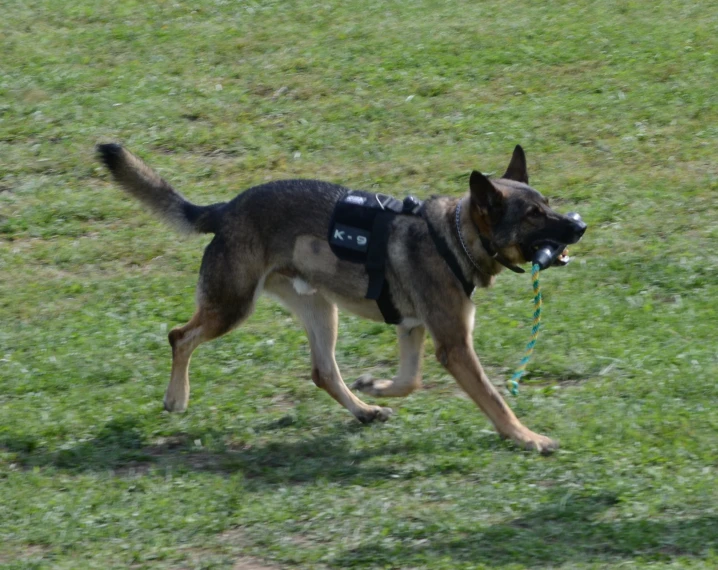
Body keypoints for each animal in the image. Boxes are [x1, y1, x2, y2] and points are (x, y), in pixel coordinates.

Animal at [98, 145, 588, 452]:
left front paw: (377, 386)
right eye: (534, 214)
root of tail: (226, 209)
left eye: (547, 202)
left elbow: (410, 380)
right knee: (179, 336)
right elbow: (494, 399)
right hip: (233, 306)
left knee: (322, 372)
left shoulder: (413, 329)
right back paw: (176, 399)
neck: (455, 237)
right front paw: (527, 438)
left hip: (320, 309)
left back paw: (365, 410)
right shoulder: (454, 345)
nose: (580, 225)